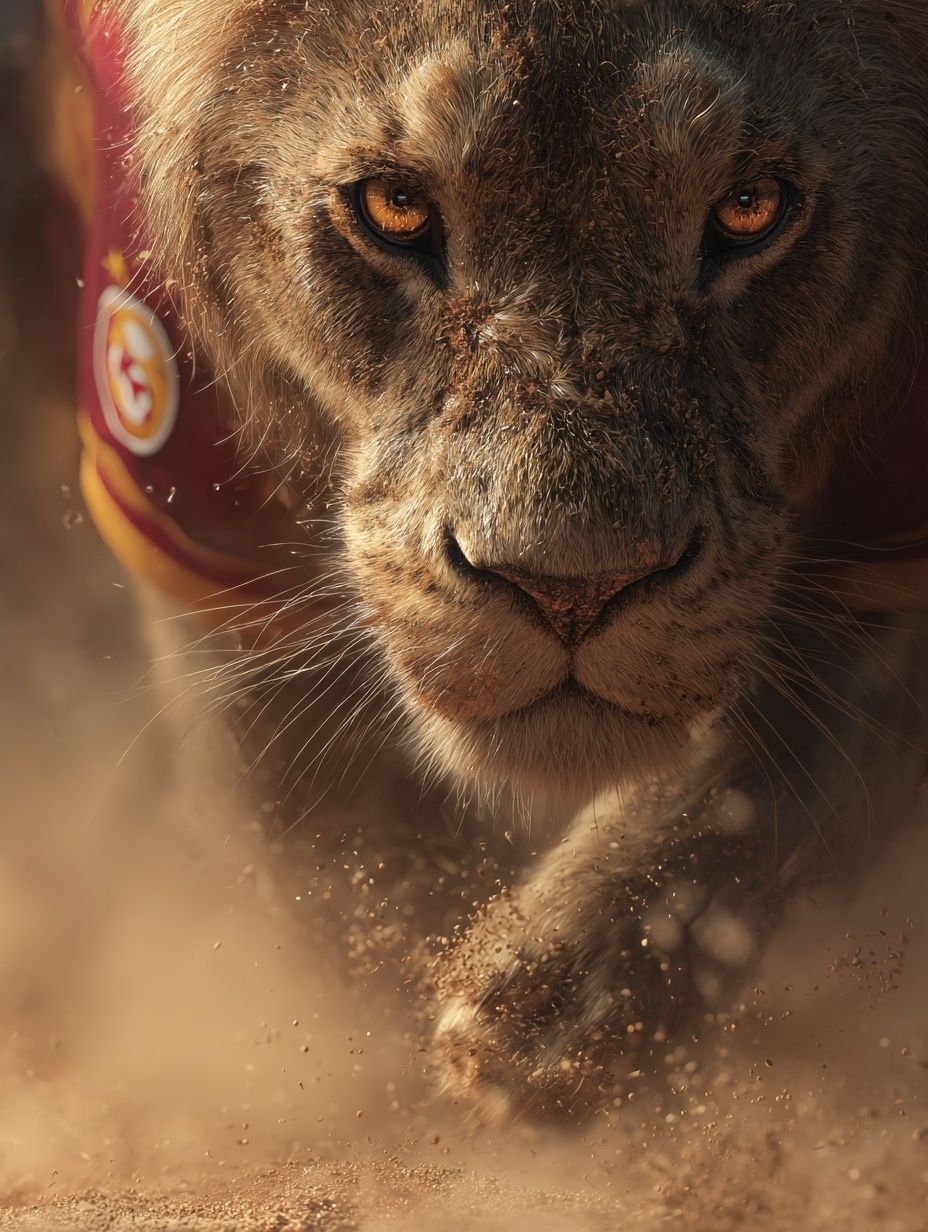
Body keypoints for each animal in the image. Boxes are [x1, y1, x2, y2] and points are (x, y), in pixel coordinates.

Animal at [52, 0, 928, 1120]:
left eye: (748, 208)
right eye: (394, 207)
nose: (571, 588)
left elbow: (790, 753)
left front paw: (564, 994)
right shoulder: (195, 503)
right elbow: (323, 860)